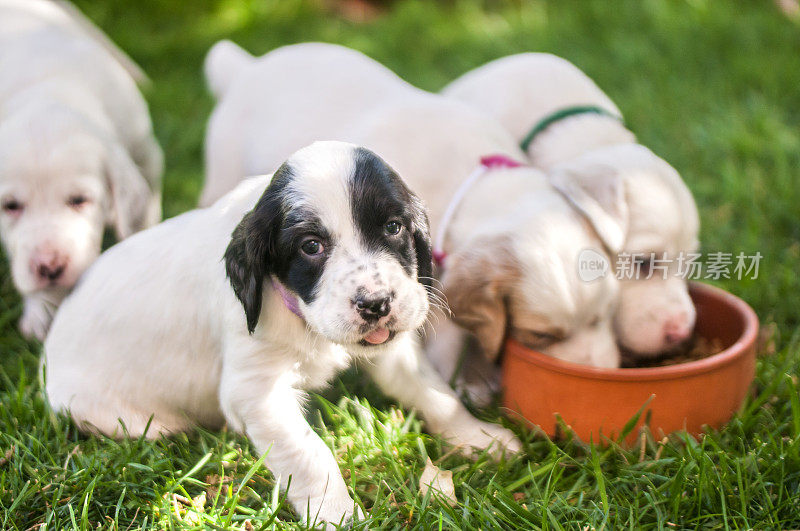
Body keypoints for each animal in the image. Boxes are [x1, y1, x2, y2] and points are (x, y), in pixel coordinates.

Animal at [0, 0, 162, 338]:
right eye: (10, 206)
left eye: (79, 200)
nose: (49, 267)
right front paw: (41, 310)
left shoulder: (146, 152)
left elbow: (143, 217)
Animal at [43, 141, 520, 528]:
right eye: (311, 246)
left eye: (393, 227)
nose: (375, 304)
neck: (299, 314)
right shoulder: (255, 391)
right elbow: (310, 454)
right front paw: (338, 515)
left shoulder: (391, 350)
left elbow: (433, 391)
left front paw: (478, 437)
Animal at [202, 41, 624, 388]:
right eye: (540, 338)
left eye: (607, 314)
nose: (603, 373)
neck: (477, 184)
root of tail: (247, 67)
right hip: (222, 167)